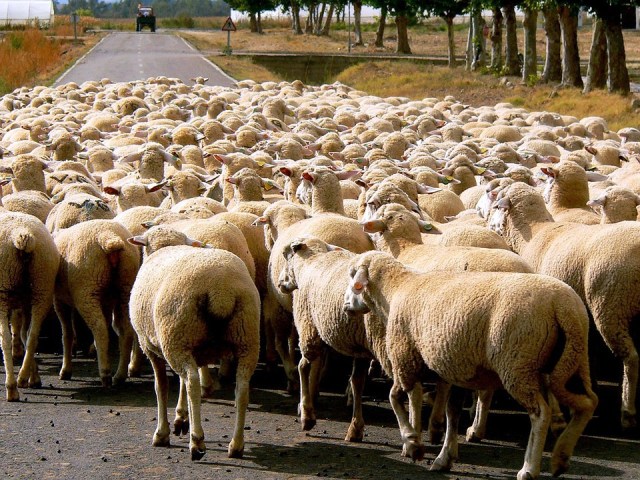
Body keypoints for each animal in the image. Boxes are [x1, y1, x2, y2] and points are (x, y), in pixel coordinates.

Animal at [0, 212, 60, 401]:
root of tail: (22, 235)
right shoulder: (24, 303)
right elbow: (25, 334)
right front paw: (34, 376)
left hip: (3, 290)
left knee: (5, 339)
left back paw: (12, 387)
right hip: (42, 284)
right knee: (33, 335)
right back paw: (25, 376)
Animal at [53, 219, 141, 386]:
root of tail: (109, 238)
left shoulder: (59, 301)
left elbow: (67, 334)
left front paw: (65, 370)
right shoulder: (106, 301)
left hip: (87, 290)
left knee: (99, 328)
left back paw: (105, 374)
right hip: (126, 287)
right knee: (126, 331)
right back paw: (119, 376)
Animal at [129, 244, 260, 460]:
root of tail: (221, 290)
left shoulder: (150, 347)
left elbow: (161, 387)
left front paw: (162, 433)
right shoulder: (194, 351)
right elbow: (180, 385)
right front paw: (182, 418)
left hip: (176, 336)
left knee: (193, 383)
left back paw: (197, 442)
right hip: (246, 339)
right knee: (241, 389)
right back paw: (236, 445)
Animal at [342, 250, 597, 479]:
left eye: (353, 276)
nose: (345, 305)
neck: (396, 289)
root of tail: (562, 305)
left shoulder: (405, 359)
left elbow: (394, 398)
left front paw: (413, 443)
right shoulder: (455, 367)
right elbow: (452, 412)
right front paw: (444, 457)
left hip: (518, 364)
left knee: (540, 413)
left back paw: (529, 469)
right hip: (572, 359)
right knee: (588, 403)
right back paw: (560, 457)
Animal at [489, 182, 640, 430]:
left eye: (497, 203)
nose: (490, 226)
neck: (535, 232)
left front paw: (559, 415)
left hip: (611, 306)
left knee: (631, 357)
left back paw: (628, 411)